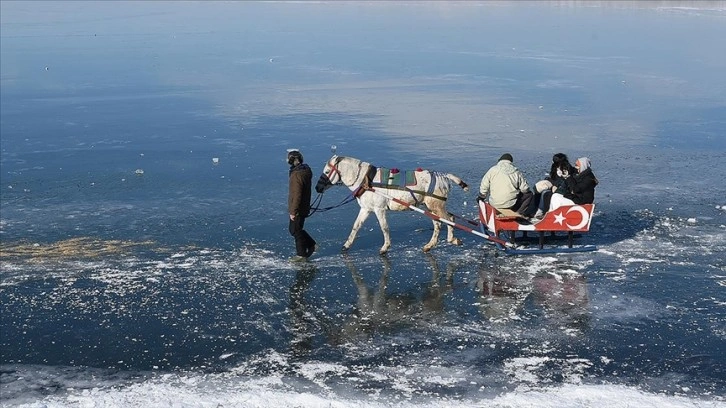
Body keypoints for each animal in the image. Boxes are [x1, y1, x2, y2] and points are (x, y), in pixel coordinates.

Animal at [316, 155, 470, 253]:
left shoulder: (379, 209)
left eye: (327, 171)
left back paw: (452, 239)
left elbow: (384, 228)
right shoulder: (366, 209)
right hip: (431, 207)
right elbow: (356, 226)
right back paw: (429, 245)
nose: (317, 188)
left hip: (436, 206)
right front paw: (346, 245)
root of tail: (443, 175)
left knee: (449, 219)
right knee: (439, 223)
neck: (366, 179)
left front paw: (385, 247)